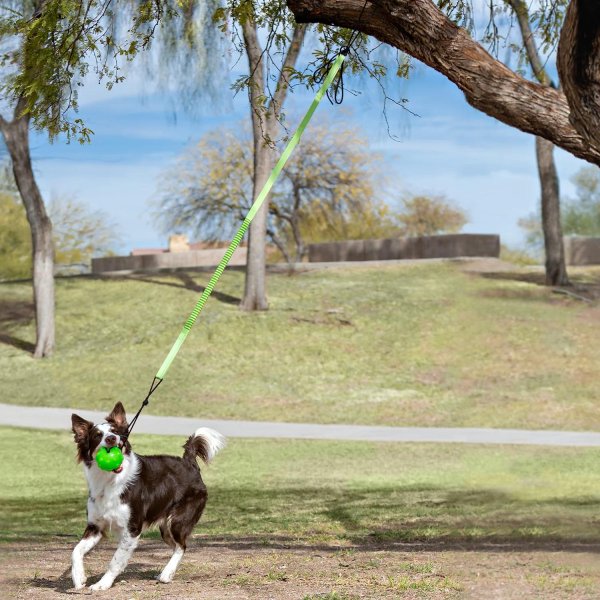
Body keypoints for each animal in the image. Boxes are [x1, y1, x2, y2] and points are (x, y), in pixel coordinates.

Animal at [70, 404, 225, 592]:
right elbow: (76, 550)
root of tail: (189, 462)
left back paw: (166, 575)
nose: (112, 438)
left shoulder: (132, 529)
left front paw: (102, 583)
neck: (110, 480)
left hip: (178, 521)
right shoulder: (95, 526)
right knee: (176, 545)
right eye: (97, 435)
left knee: (182, 546)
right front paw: (79, 577)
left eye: (115, 431)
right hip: (165, 529)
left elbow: (115, 560)